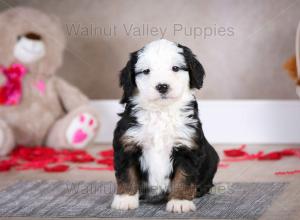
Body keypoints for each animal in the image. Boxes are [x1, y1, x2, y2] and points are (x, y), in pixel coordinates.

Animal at [111, 38, 219, 212]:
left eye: (175, 68)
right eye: (146, 71)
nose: (162, 86)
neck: (160, 113)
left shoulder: (187, 146)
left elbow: (184, 177)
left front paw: (180, 202)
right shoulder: (127, 144)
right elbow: (127, 174)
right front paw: (125, 199)